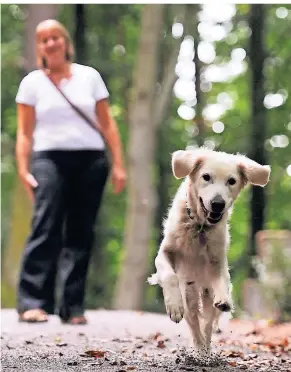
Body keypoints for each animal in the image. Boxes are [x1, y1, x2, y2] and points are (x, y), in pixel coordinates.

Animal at [148, 147, 272, 354]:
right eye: (206, 177)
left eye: (231, 181)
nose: (217, 203)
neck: (200, 227)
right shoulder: (165, 253)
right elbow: (169, 275)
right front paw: (174, 306)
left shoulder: (217, 262)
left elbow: (221, 282)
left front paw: (224, 299)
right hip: (189, 293)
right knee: (194, 322)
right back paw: (198, 346)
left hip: (205, 294)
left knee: (207, 323)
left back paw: (205, 348)